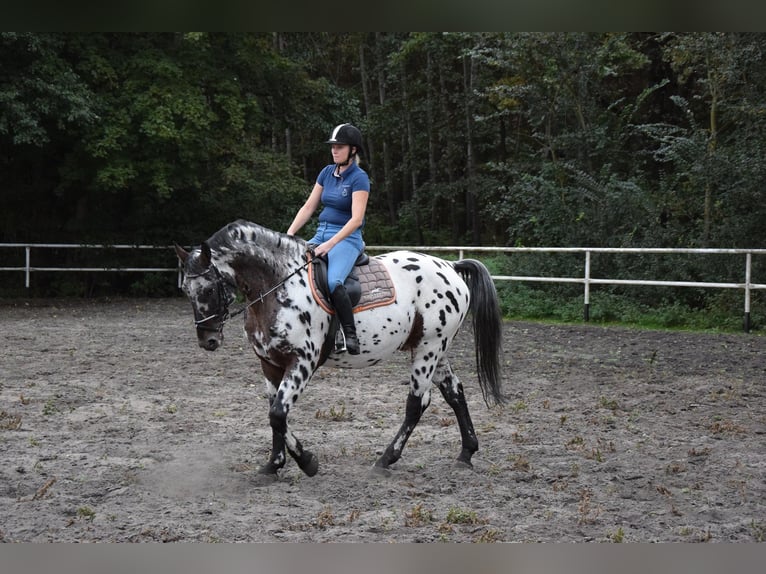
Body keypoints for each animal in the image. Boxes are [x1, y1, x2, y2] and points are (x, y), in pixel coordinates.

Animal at [176, 220, 508, 482]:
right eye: (185, 290)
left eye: (208, 289)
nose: (208, 341)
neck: (277, 286)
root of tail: (450, 267)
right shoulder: (269, 364)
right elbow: (276, 417)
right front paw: (273, 465)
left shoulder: (302, 362)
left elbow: (278, 414)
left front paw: (307, 463)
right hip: (434, 349)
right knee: (454, 392)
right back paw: (466, 453)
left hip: (429, 348)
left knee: (417, 403)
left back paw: (385, 460)